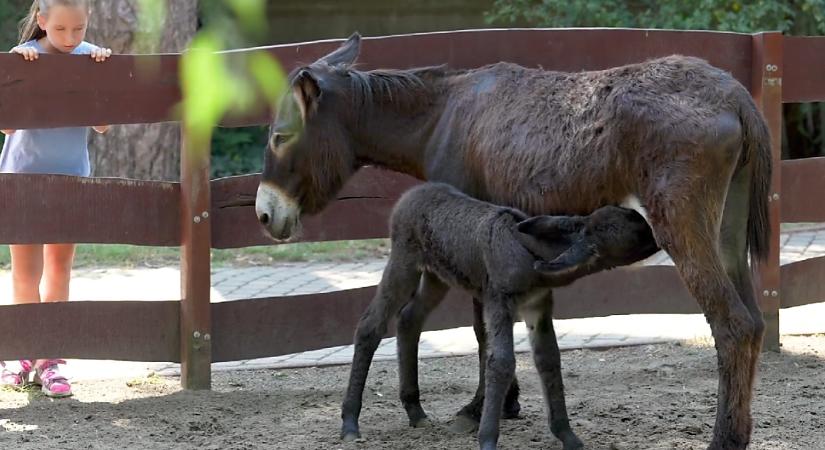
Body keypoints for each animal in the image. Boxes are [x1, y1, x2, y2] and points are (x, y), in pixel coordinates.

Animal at [342, 183, 656, 450]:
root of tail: (413, 192)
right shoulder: (499, 303)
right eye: (636, 230)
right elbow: (501, 362)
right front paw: (488, 440)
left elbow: (549, 360)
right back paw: (349, 423)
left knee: (409, 320)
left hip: (436, 276)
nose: (657, 235)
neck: (529, 254)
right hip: (404, 262)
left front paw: (568, 436)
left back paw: (415, 410)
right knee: (371, 325)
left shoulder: (538, 306)